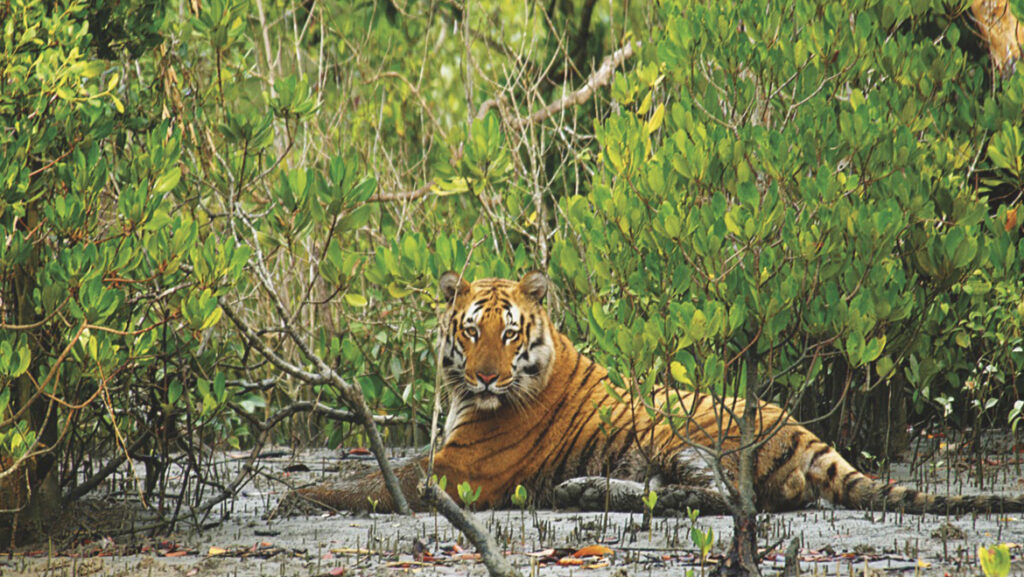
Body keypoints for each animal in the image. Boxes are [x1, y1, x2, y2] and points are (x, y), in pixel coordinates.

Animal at [288, 272, 1024, 516]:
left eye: (509, 332)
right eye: (472, 332)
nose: (487, 376)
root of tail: (810, 437)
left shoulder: (457, 471)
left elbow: (370, 478)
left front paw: (295, 497)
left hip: (678, 428)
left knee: (723, 498)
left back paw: (588, 491)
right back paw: (577, 488)